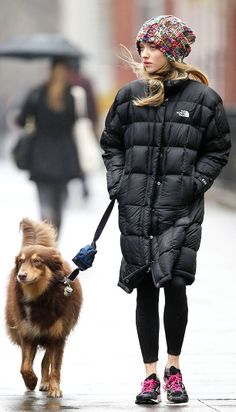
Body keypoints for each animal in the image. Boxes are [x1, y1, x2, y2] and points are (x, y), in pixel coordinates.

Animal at [4, 217, 82, 398]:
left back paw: (46, 382)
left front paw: (54, 388)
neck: (40, 298)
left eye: (37, 261)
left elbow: (56, 366)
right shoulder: (27, 332)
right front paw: (31, 381)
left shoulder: (58, 336)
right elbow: (25, 366)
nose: (21, 276)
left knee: (46, 359)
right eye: (21, 261)